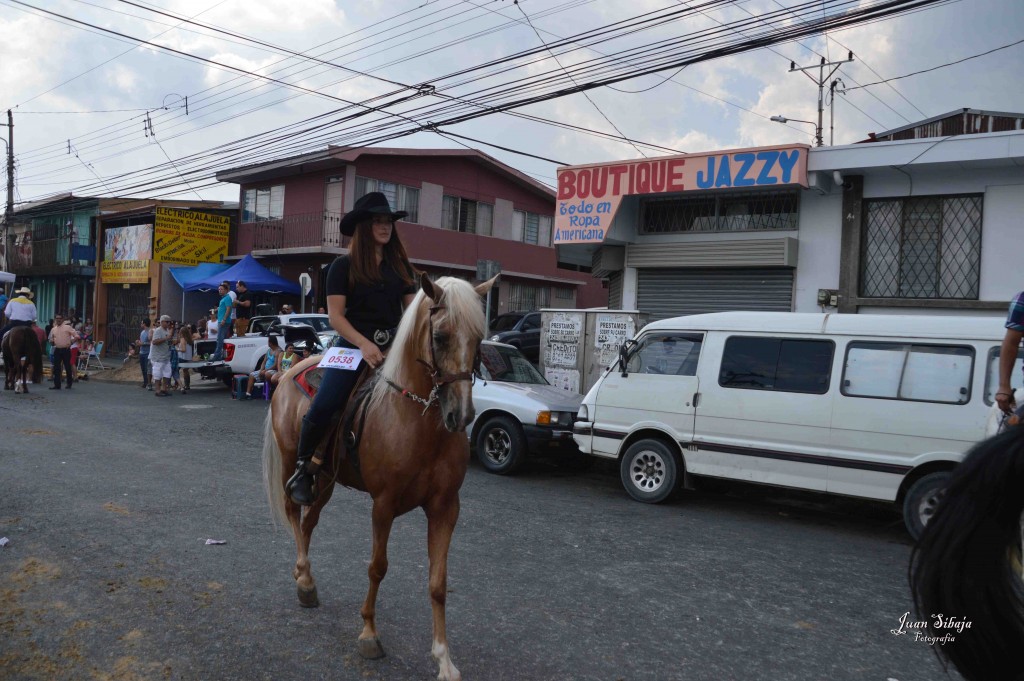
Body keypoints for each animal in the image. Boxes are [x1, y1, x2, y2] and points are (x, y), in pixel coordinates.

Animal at [264, 272, 495, 679]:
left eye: (479, 338)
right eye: (440, 337)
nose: (462, 415)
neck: (416, 422)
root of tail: (291, 368)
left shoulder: (446, 508)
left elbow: (438, 583)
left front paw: (444, 659)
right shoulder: (383, 505)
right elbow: (377, 568)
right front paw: (369, 634)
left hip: (325, 481)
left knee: (308, 523)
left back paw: (306, 581)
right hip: (295, 464)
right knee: (294, 511)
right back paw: (304, 576)